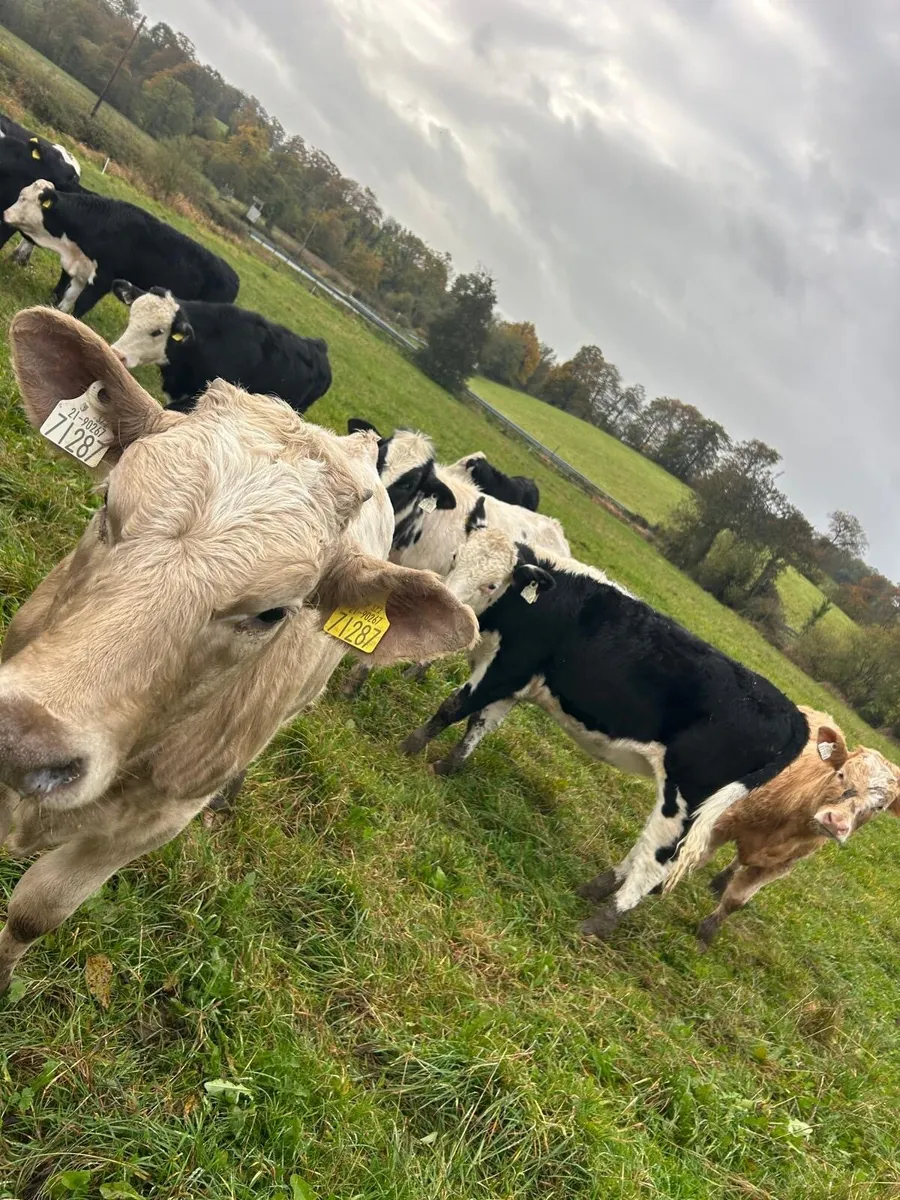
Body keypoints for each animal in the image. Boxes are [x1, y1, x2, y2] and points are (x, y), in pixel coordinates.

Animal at [2, 182, 240, 317]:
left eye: (23, 198)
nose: (4, 213)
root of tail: (233, 276)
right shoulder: (83, 270)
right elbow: (68, 297)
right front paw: (58, 315)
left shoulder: (105, 277)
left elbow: (82, 304)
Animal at [401, 528, 808, 938]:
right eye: (455, 558)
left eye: (491, 583)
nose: (449, 603)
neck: (545, 602)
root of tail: (791, 712)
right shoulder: (516, 681)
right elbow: (479, 724)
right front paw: (447, 766)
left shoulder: (507, 668)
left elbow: (453, 707)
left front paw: (410, 749)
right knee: (648, 849)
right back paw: (594, 888)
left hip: (686, 796)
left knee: (655, 863)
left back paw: (599, 921)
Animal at [688, 711, 900, 945]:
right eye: (842, 774)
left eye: (879, 807)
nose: (836, 822)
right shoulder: (722, 823)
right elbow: (699, 857)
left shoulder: (779, 866)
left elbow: (736, 900)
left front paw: (706, 932)